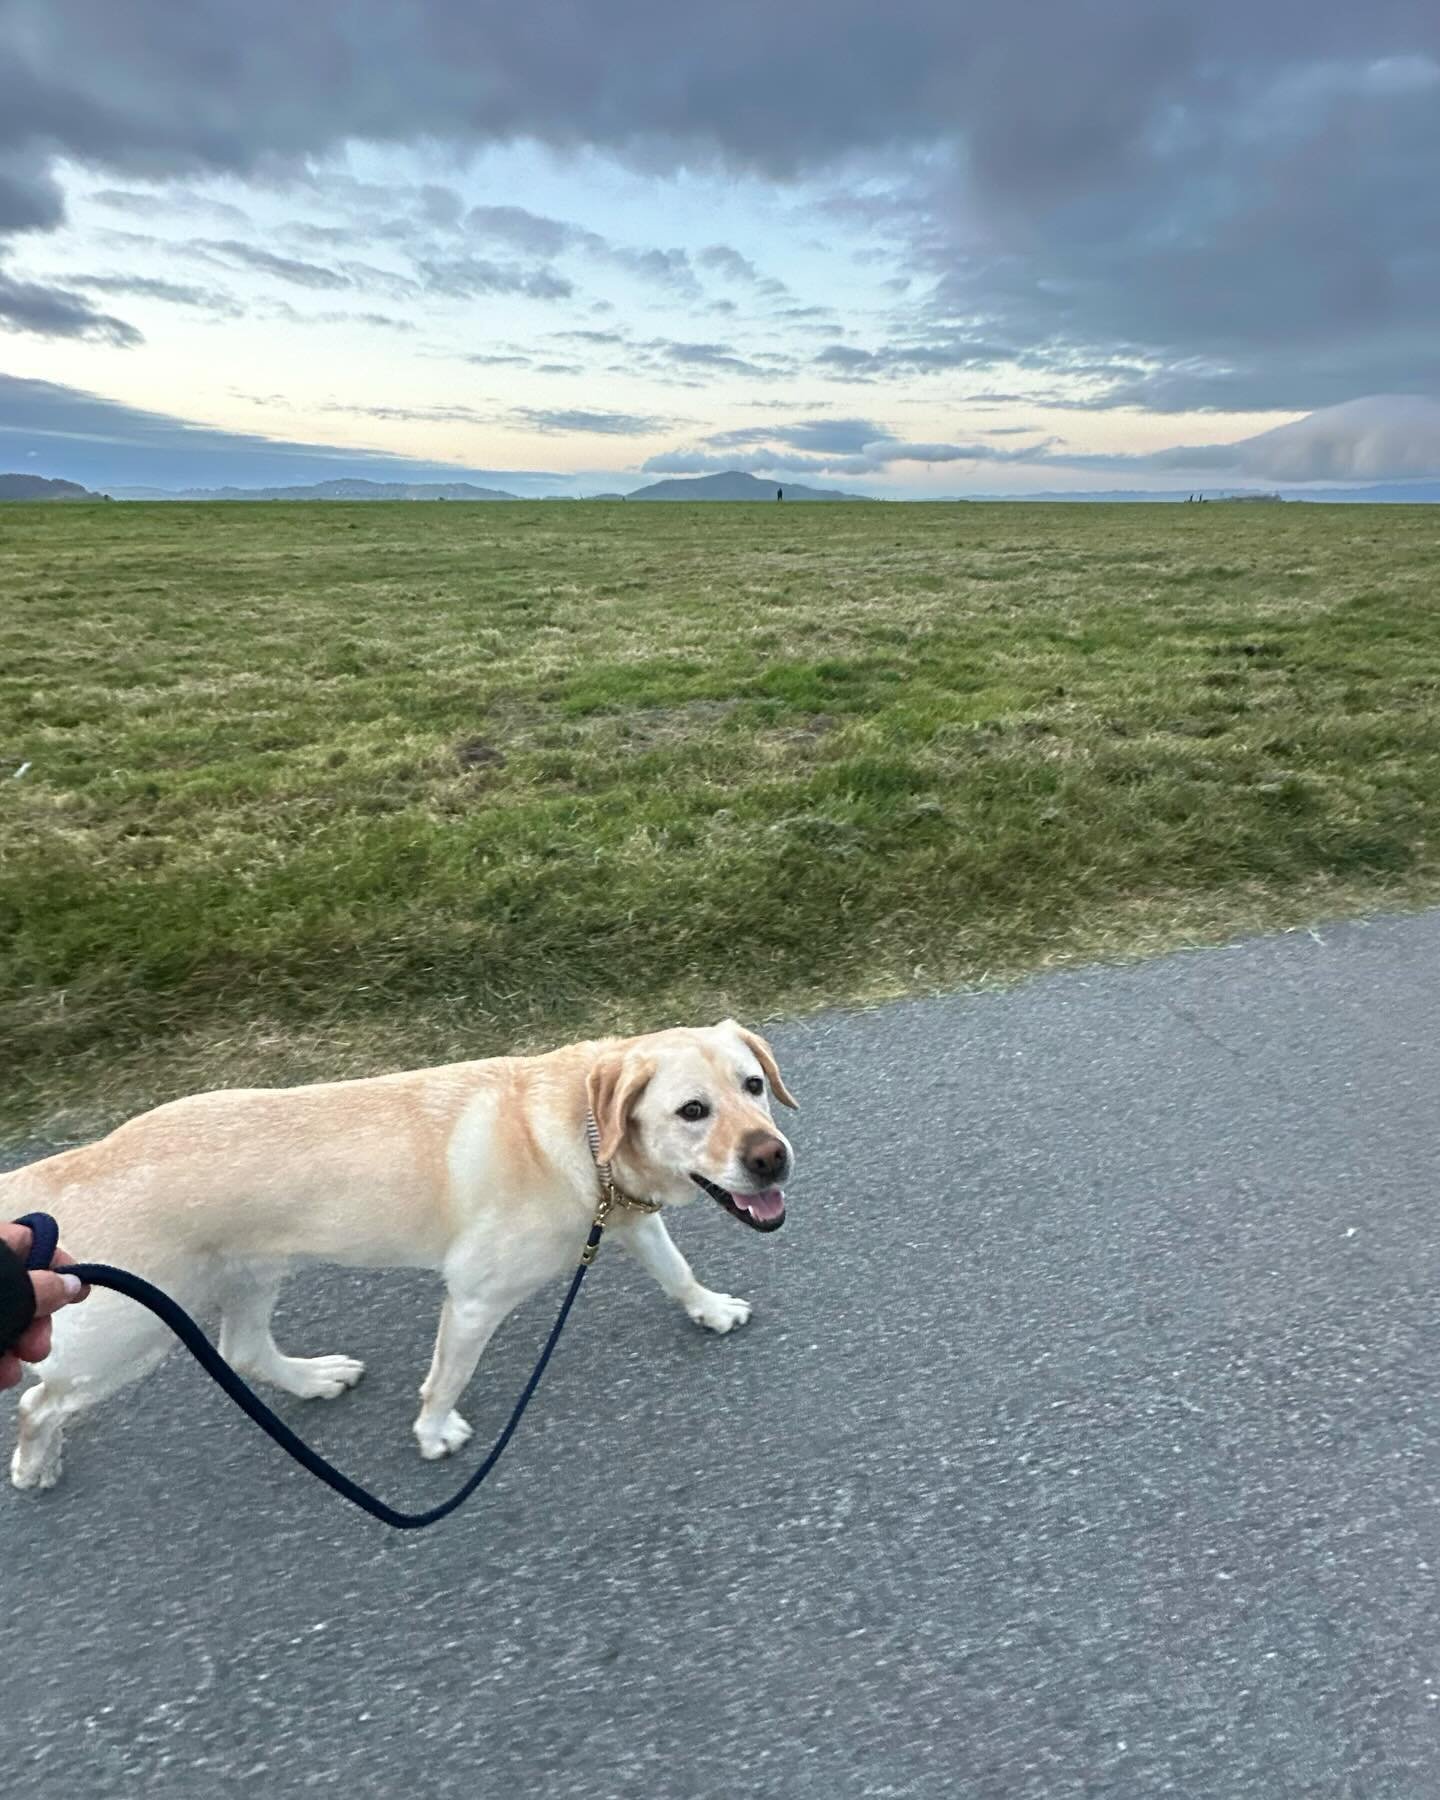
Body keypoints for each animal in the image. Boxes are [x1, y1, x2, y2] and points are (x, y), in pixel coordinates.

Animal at [5, 1022, 799, 1497]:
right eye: (691, 1110)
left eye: (753, 1085)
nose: (773, 1158)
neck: (583, 1130)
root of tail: (68, 1164)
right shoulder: (475, 1296)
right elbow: (447, 1377)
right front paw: (434, 1434)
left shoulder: (627, 1218)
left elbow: (675, 1270)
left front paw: (711, 1310)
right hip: (129, 1337)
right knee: (38, 1402)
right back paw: (34, 1465)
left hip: (252, 1272)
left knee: (246, 1350)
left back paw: (315, 1378)